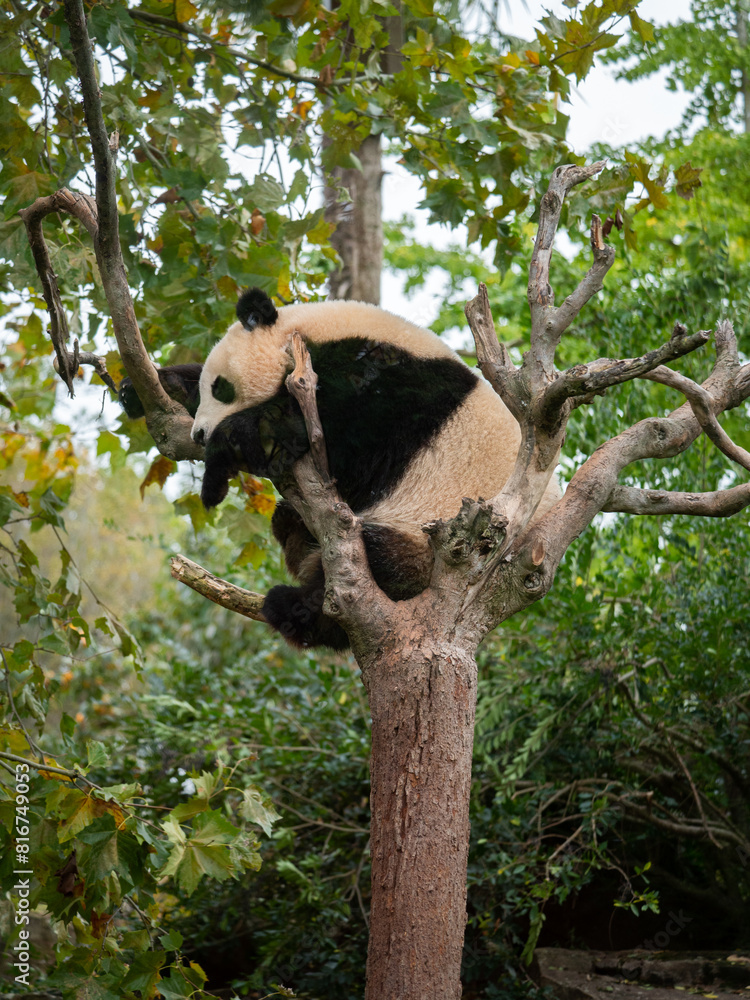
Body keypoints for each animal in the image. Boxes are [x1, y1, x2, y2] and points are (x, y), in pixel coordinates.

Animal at [121, 288, 559, 650]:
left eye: (222, 388)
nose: (198, 433)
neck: (312, 333)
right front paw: (149, 387)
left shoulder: (380, 384)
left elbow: (319, 436)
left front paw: (221, 462)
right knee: (296, 526)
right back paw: (295, 534)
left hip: (434, 535)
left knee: (374, 567)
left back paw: (293, 609)